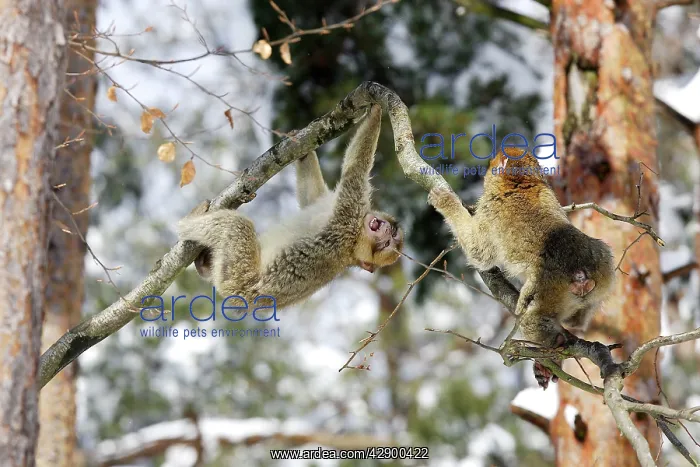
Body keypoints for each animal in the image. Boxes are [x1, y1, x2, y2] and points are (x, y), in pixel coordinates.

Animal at [177, 104, 404, 310]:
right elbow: (312, 196)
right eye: (390, 236)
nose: (385, 231)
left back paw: (185, 224)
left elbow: (355, 171)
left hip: (236, 276)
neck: (355, 244)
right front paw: (302, 148)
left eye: (386, 244)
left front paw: (376, 110)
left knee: (236, 225)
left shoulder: (347, 219)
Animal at [427, 147, 615, 388]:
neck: (521, 181)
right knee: (577, 316)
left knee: (530, 316)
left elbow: (479, 253)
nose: (486, 172)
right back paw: (572, 326)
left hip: (547, 287)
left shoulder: (489, 207)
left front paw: (446, 202)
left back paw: (550, 353)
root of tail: (581, 270)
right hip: (604, 266)